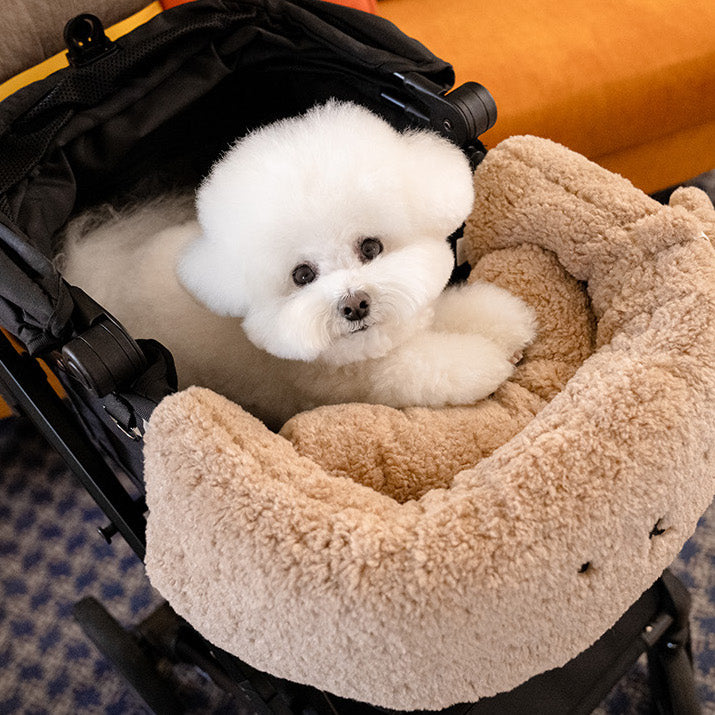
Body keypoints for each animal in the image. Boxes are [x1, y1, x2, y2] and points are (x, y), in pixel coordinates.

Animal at [61, 99, 536, 426]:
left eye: (370, 248)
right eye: (302, 275)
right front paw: (485, 361)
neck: (367, 348)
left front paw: (505, 321)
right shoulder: (364, 383)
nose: (354, 305)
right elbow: (426, 368)